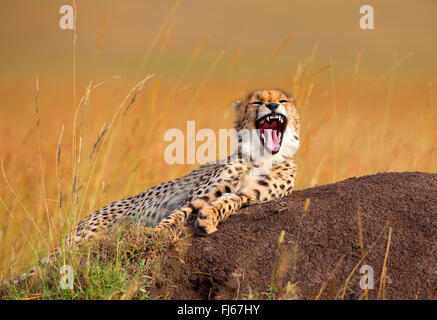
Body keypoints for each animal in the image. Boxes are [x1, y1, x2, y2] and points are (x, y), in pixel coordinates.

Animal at [8, 88, 300, 284]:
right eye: (257, 102)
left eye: (282, 100)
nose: (272, 106)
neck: (262, 157)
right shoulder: (196, 196)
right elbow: (178, 214)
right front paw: (156, 234)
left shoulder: (250, 195)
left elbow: (228, 202)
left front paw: (209, 219)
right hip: (84, 237)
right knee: (49, 263)